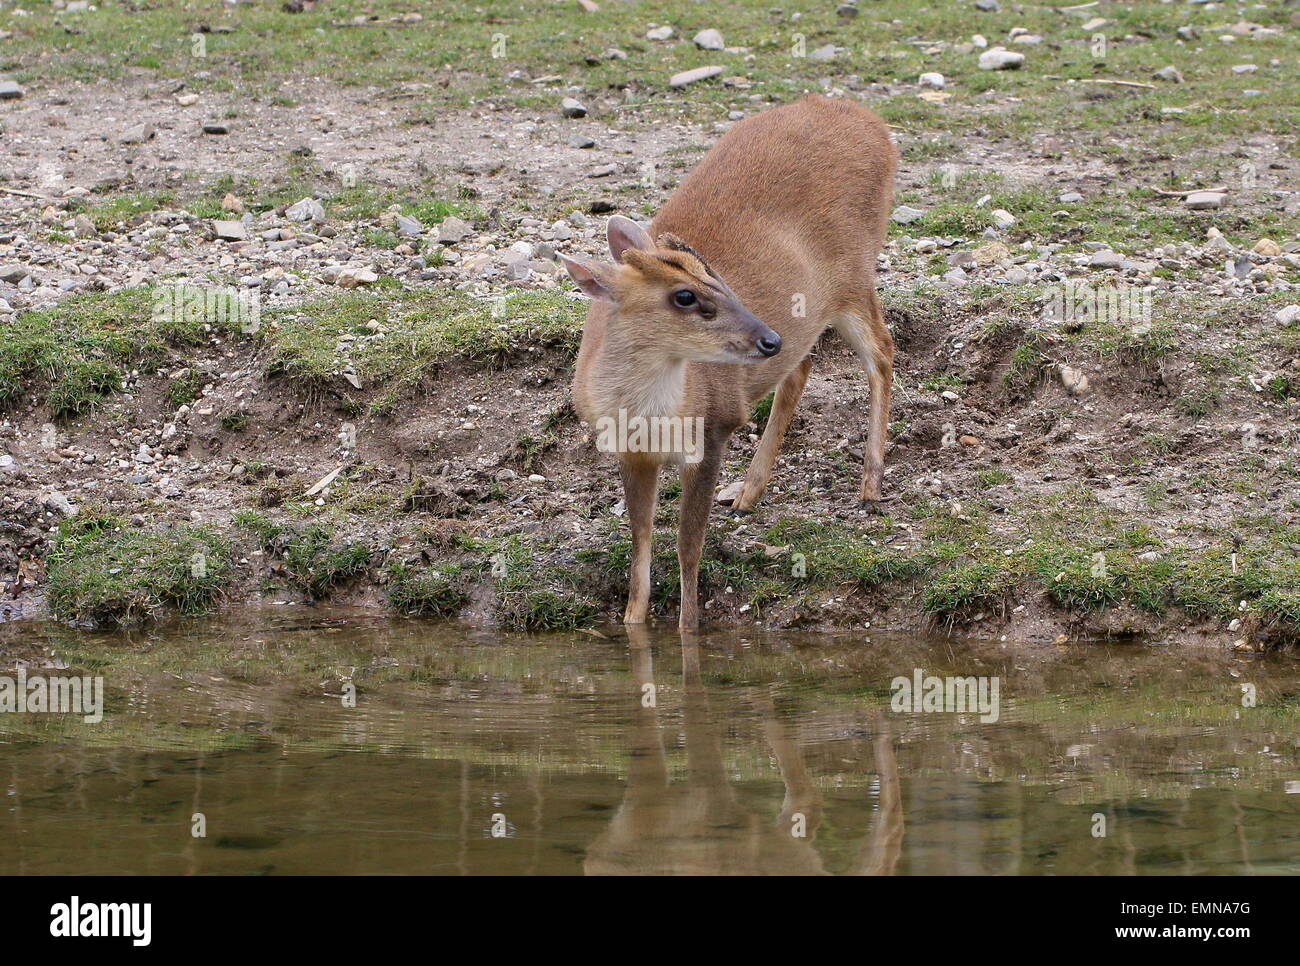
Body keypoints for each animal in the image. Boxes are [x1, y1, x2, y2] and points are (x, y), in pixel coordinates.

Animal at [562, 95, 897, 631]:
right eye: (685, 295)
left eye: (718, 277)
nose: (767, 338)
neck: (652, 416)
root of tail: (865, 117)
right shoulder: (630, 452)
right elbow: (640, 543)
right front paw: (634, 622)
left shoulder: (713, 428)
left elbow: (688, 547)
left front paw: (688, 629)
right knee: (802, 365)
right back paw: (747, 494)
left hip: (853, 274)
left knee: (882, 352)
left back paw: (869, 486)